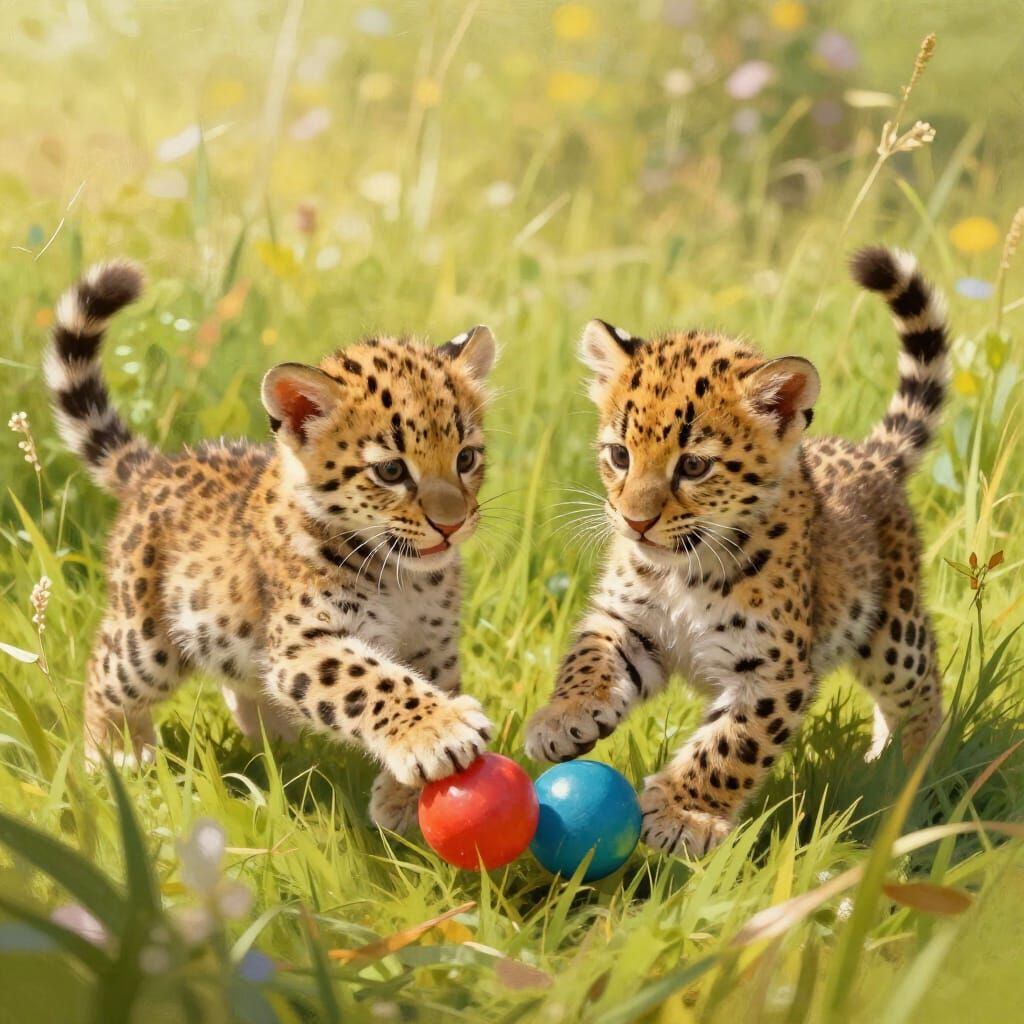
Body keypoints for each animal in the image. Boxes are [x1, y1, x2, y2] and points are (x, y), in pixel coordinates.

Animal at [45, 260, 498, 833]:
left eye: (466, 458)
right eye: (392, 471)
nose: (452, 524)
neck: (405, 580)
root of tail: (157, 466)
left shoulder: (432, 646)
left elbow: (422, 680)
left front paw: (401, 798)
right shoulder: (306, 641)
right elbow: (372, 680)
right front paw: (442, 732)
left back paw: (277, 745)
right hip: (146, 640)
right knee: (104, 668)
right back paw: (116, 754)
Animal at [525, 246, 949, 859]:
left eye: (694, 465)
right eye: (619, 455)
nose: (634, 522)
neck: (684, 570)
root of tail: (870, 453)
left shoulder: (772, 671)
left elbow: (729, 745)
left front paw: (682, 815)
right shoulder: (630, 623)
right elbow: (590, 657)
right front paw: (563, 717)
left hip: (893, 632)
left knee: (922, 686)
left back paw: (910, 772)